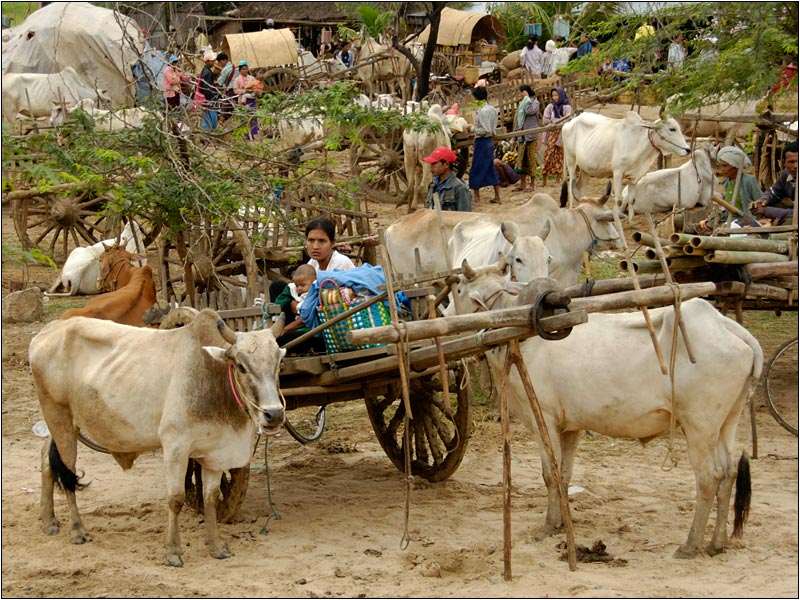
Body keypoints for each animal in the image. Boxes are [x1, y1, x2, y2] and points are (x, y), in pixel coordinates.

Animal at [31, 310, 288, 568]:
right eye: (242, 367)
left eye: (278, 363)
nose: (274, 414)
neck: (212, 376)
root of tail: (49, 330)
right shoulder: (176, 446)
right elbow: (176, 499)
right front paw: (173, 551)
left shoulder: (215, 453)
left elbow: (211, 498)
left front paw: (216, 546)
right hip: (59, 417)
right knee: (67, 473)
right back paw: (77, 530)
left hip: (64, 425)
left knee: (46, 460)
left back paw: (48, 520)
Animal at [456, 264, 764, 560]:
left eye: (458, 289)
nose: (446, 310)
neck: (521, 334)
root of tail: (728, 327)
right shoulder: (570, 427)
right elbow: (564, 475)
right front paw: (561, 522)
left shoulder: (544, 418)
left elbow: (550, 474)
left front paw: (548, 525)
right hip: (727, 422)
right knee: (729, 473)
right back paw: (716, 543)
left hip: (700, 425)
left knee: (709, 477)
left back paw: (691, 545)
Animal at [560, 111, 692, 210]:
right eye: (672, 129)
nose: (688, 149)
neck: (639, 141)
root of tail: (568, 123)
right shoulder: (617, 173)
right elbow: (619, 200)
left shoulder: (635, 176)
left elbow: (632, 200)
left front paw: (632, 223)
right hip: (571, 161)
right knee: (571, 186)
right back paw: (571, 208)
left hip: (586, 168)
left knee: (581, 187)